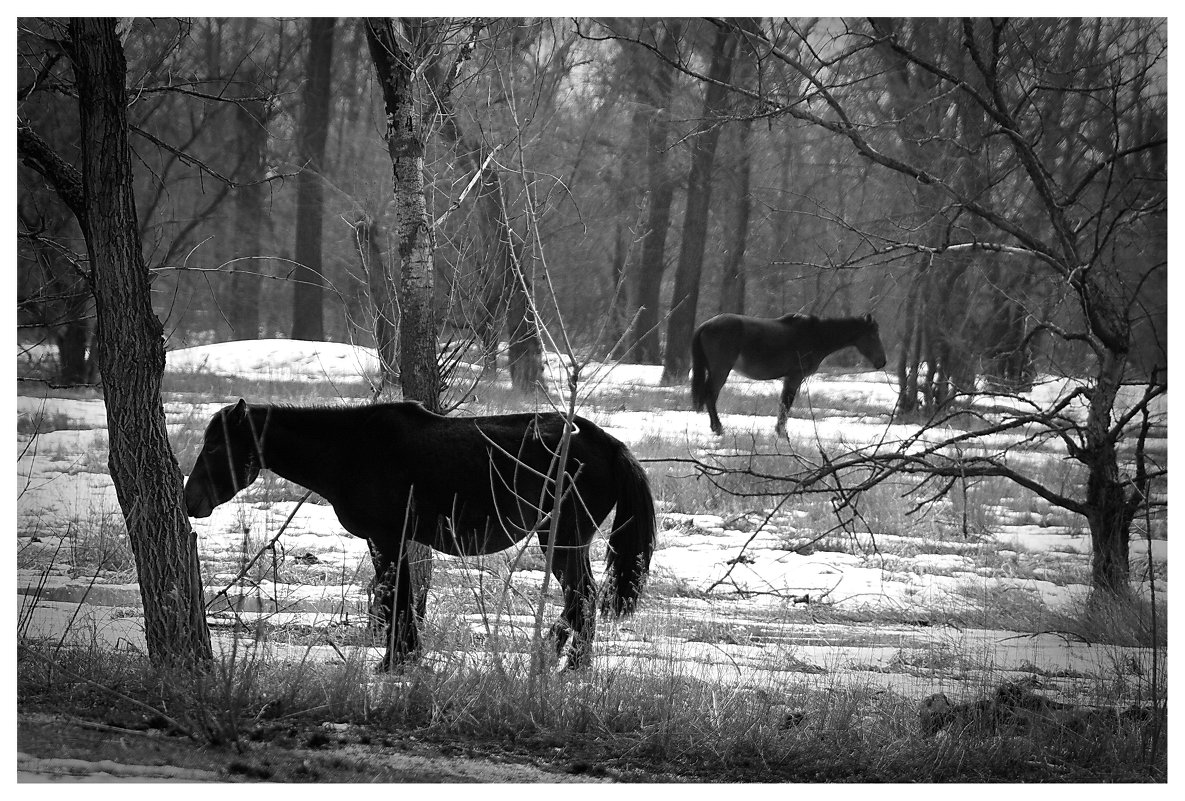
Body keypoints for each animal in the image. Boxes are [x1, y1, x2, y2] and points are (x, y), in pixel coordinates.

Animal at [184, 400, 658, 668]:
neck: (350, 448)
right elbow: (401, 594)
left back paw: (563, 658)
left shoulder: (387, 538)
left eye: (216, 447)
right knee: (582, 599)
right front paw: (407, 655)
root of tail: (610, 445)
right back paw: (568, 659)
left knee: (582, 597)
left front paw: (396, 659)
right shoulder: (391, 540)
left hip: (562, 539)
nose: (190, 501)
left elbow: (396, 596)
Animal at [692, 312, 886, 438]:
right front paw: (782, 433)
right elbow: (786, 404)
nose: (882, 362)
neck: (816, 334)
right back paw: (718, 428)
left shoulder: (791, 378)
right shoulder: (795, 376)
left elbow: (784, 404)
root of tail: (706, 325)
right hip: (720, 370)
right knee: (710, 395)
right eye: (873, 335)